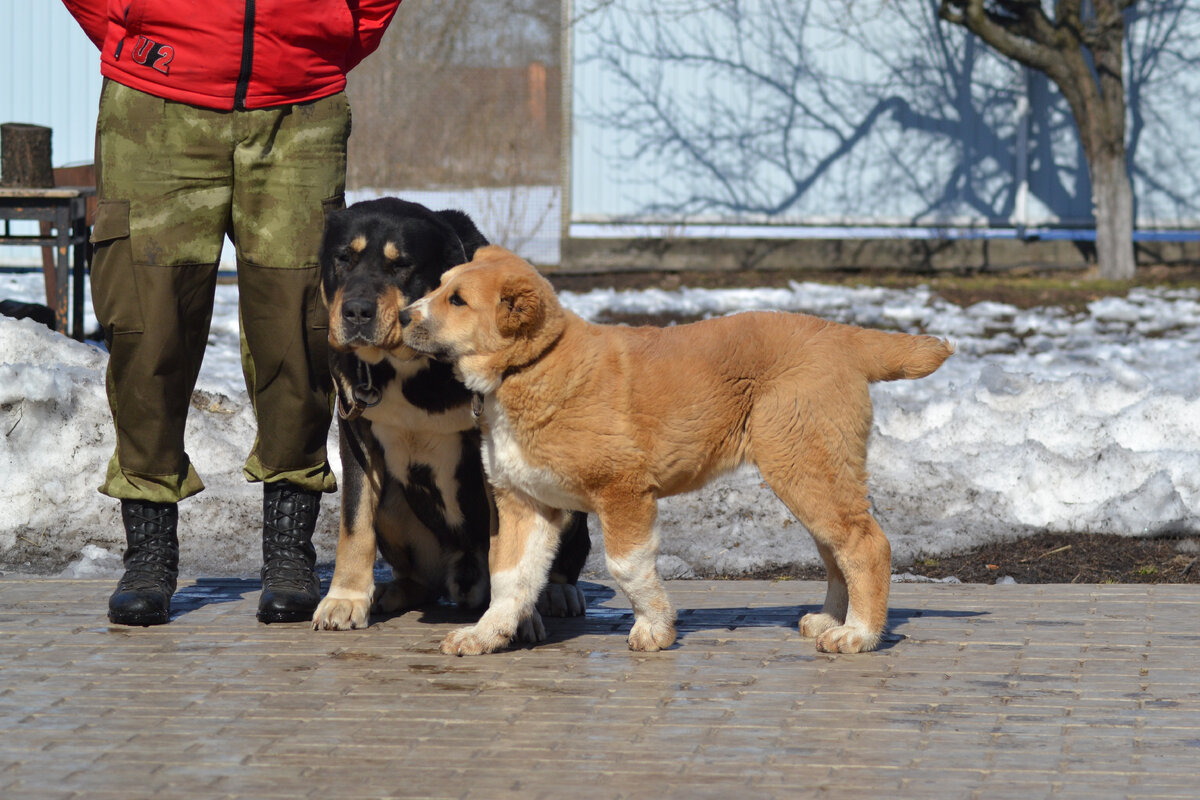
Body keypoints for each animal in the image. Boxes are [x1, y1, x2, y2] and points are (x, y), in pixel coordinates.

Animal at [309, 200, 590, 633]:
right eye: (344, 258)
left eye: (401, 265)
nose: (356, 311)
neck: (409, 364)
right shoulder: (356, 431)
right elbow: (355, 525)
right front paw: (346, 599)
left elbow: (507, 541)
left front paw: (515, 615)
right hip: (394, 504)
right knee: (417, 575)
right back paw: (393, 592)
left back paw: (557, 593)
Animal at [403, 245, 955, 657]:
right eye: (439, 286)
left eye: (457, 301)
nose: (403, 315)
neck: (530, 366)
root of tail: (842, 336)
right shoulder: (525, 504)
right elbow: (510, 576)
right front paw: (487, 634)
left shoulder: (623, 491)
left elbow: (626, 567)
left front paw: (654, 628)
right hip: (811, 471)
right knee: (836, 548)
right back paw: (830, 621)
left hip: (805, 466)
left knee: (865, 544)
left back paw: (859, 634)